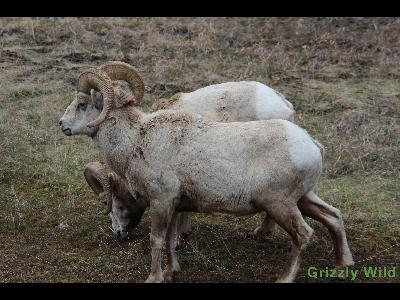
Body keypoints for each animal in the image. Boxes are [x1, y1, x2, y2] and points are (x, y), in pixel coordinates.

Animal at [58, 63, 354, 284]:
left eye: (82, 104)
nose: (62, 124)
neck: (137, 141)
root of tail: (312, 145)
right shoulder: (175, 204)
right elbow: (170, 239)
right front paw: (171, 271)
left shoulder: (162, 201)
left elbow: (157, 240)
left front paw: (154, 277)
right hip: (303, 198)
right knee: (334, 215)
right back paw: (343, 264)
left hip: (280, 205)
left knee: (303, 234)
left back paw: (284, 277)